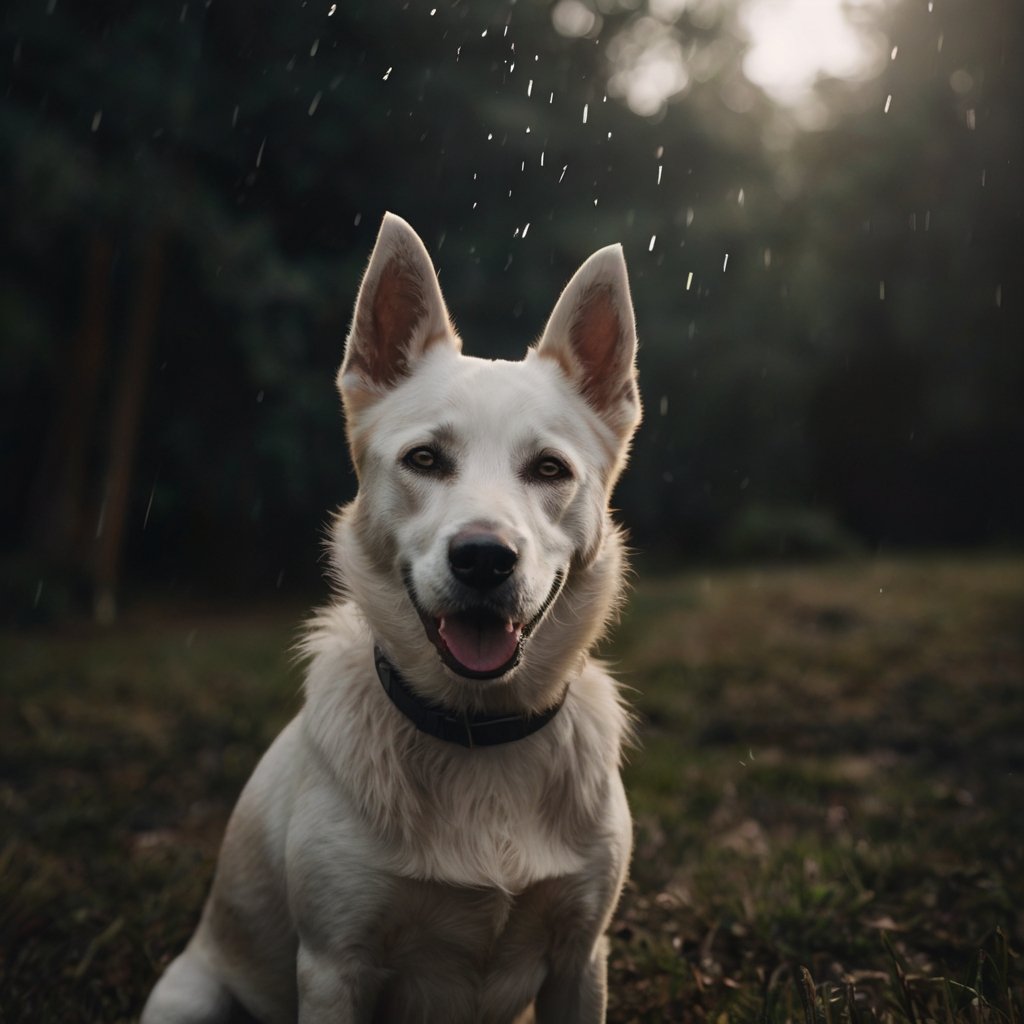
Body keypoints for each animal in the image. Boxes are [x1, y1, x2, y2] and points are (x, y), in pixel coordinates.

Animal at [142, 211, 638, 1019]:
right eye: (426, 460)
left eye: (549, 470)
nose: (483, 559)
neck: (477, 734)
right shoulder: (334, 967)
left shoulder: (581, 958)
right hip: (191, 995)